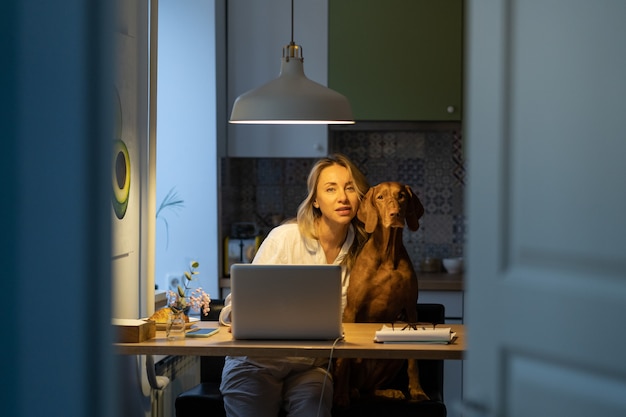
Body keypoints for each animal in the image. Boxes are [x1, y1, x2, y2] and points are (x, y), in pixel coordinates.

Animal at [332, 181, 428, 406]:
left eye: (401, 196)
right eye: (380, 197)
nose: (395, 214)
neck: (388, 255)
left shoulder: (411, 309)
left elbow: (414, 362)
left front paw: (417, 391)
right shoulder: (352, 309)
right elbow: (344, 361)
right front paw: (340, 396)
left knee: (369, 389)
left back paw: (386, 391)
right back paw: (349, 391)